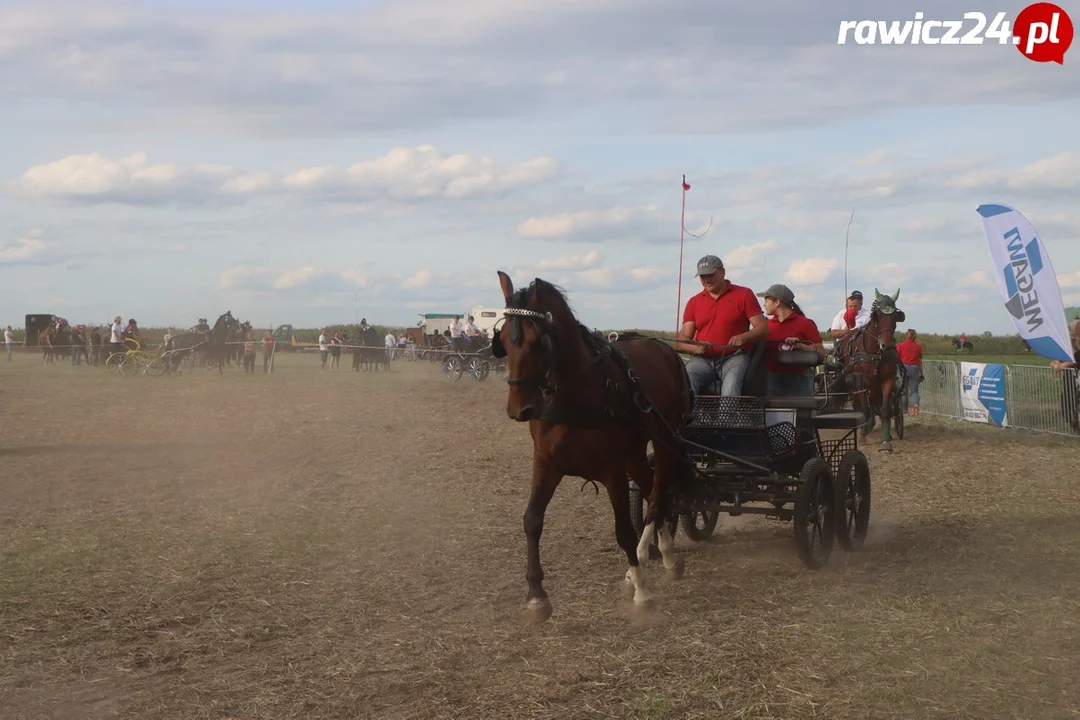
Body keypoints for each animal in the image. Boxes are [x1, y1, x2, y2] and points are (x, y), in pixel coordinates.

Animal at [494, 273, 695, 621]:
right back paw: (664, 553)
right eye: (503, 341)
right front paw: (536, 597)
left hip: (665, 440)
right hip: (635, 453)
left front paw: (642, 592)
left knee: (658, 495)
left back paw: (656, 558)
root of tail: (663, 347)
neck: (574, 395)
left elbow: (624, 530)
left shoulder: (612, 470)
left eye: (537, 342)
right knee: (652, 491)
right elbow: (532, 520)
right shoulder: (546, 463)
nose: (519, 409)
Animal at [833, 289, 902, 453]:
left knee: (875, 403)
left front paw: (886, 442)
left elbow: (885, 409)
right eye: (877, 316)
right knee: (861, 404)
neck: (875, 353)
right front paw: (863, 436)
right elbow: (863, 407)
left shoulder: (887, 380)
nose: (887, 345)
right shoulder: (861, 382)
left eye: (896, 317)